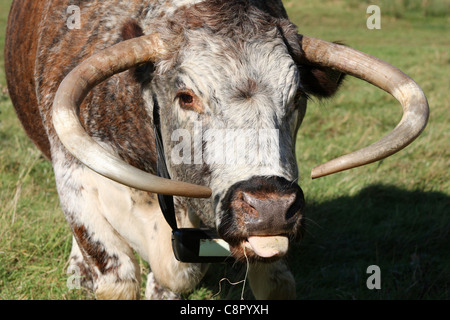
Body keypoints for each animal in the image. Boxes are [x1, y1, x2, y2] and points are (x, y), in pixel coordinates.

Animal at [6, 0, 428, 300]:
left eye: (297, 97)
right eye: (186, 96)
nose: (271, 208)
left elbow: (268, 281)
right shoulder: (74, 177)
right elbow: (117, 276)